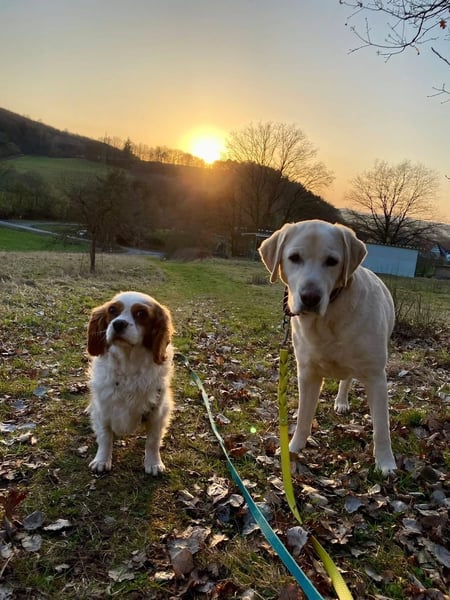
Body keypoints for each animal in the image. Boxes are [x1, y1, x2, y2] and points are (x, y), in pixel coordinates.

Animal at [86, 291, 174, 475]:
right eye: (112, 310)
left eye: (141, 313)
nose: (118, 324)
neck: (128, 365)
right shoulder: (104, 409)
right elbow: (105, 437)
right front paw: (102, 460)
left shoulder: (157, 413)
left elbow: (153, 441)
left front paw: (153, 463)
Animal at [259, 220, 396, 475]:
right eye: (294, 258)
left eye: (332, 261)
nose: (310, 297)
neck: (327, 319)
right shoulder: (307, 374)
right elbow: (304, 416)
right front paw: (294, 448)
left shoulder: (376, 376)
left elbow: (382, 428)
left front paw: (385, 463)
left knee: (347, 379)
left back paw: (342, 402)